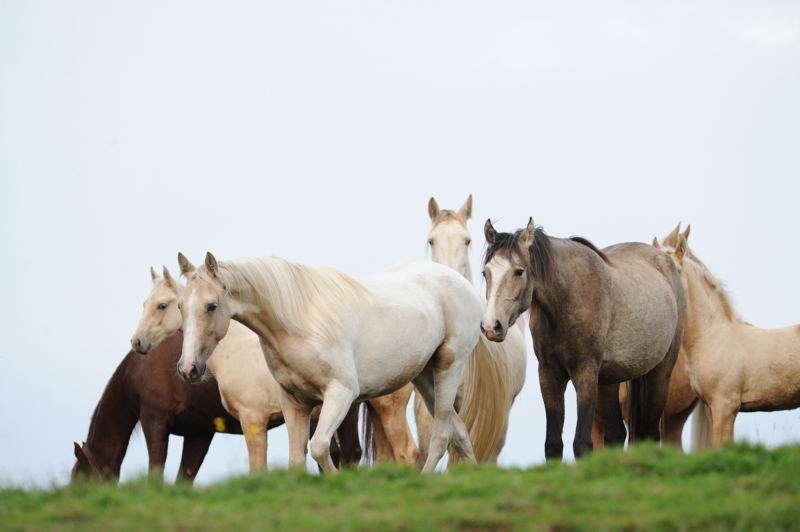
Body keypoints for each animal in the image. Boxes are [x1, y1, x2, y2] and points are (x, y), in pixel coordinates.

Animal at [177, 253, 484, 473]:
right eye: (180, 306)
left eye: (212, 306)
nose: (188, 369)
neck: (299, 323)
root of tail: (463, 284)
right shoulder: (294, 402)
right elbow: (296, 459)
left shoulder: (341, 393)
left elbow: (319, 448)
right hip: (424, 377)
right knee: (459, 432)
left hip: (448, 367)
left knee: (441, 436)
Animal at [481, 218, 685, 459]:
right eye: (485, 273)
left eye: (519, 271)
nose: (491, 326)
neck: (569, 297)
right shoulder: (549, 374)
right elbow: (553, 445)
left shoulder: (584, 373)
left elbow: (582, 444)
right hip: (608, 381)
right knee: (616, 434)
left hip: (660, 374)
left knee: (650, 434)